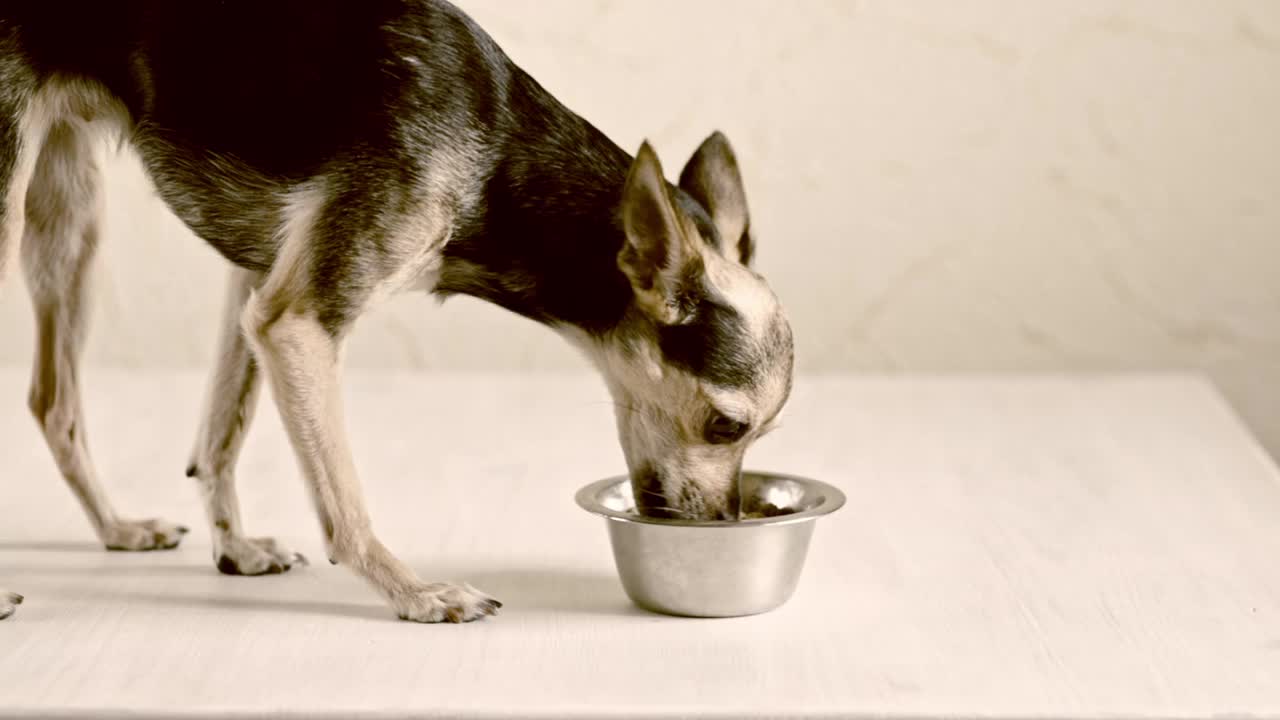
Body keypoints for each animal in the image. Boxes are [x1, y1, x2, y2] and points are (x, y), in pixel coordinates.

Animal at [0, 0, 793, 620]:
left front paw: (234, 548)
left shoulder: (255, 286)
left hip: (68, 214)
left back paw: (116, 528)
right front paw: (414, 592)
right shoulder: (294, 323)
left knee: (53, 400)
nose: (723, 524)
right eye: (727, 427)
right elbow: (343, 501)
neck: (496, 158)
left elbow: (220, 435)